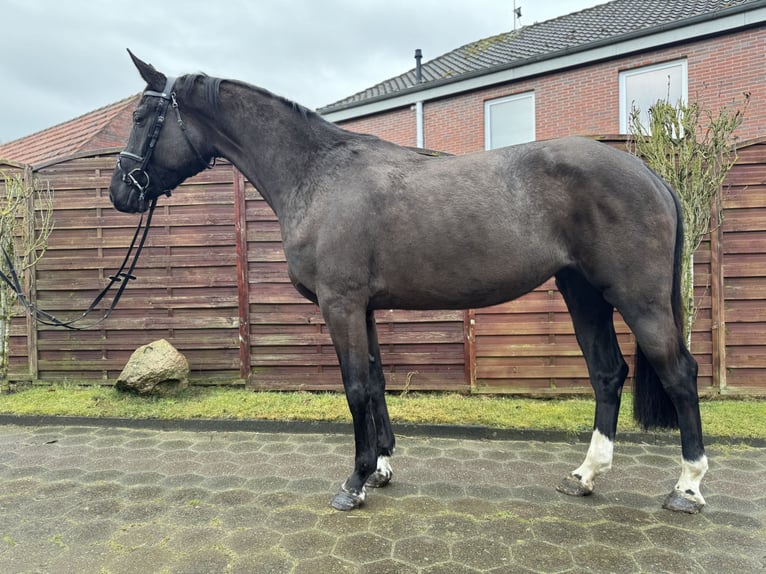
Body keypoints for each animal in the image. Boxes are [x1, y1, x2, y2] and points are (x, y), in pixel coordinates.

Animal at [108, 51, 708, 516]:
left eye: (141, 115)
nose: (120, 192)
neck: (318, 174)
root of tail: (651, 173)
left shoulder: (341, 304)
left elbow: (354, 386)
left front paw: (353, 482)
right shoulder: (365, 307)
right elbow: (375, 381)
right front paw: (380, 467)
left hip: (637, 299)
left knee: (679, 373)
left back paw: (687, 487)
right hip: (582, 292)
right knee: (608, 374)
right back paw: (584, 476)